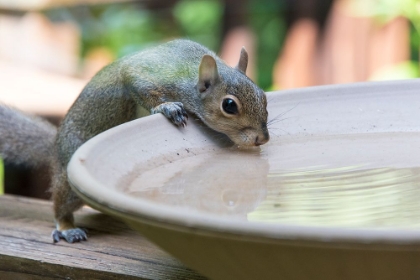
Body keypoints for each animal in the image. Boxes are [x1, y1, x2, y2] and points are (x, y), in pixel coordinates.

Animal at [0, 39, 270, 243]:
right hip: (68, 178)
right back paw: (67, 228)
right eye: (229, 105)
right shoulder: (147, 73)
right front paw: (167, 107)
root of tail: (54, 147)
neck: (190, 77)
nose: (262, 138)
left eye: (263, 96)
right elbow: (137, 83)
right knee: (61, 204)